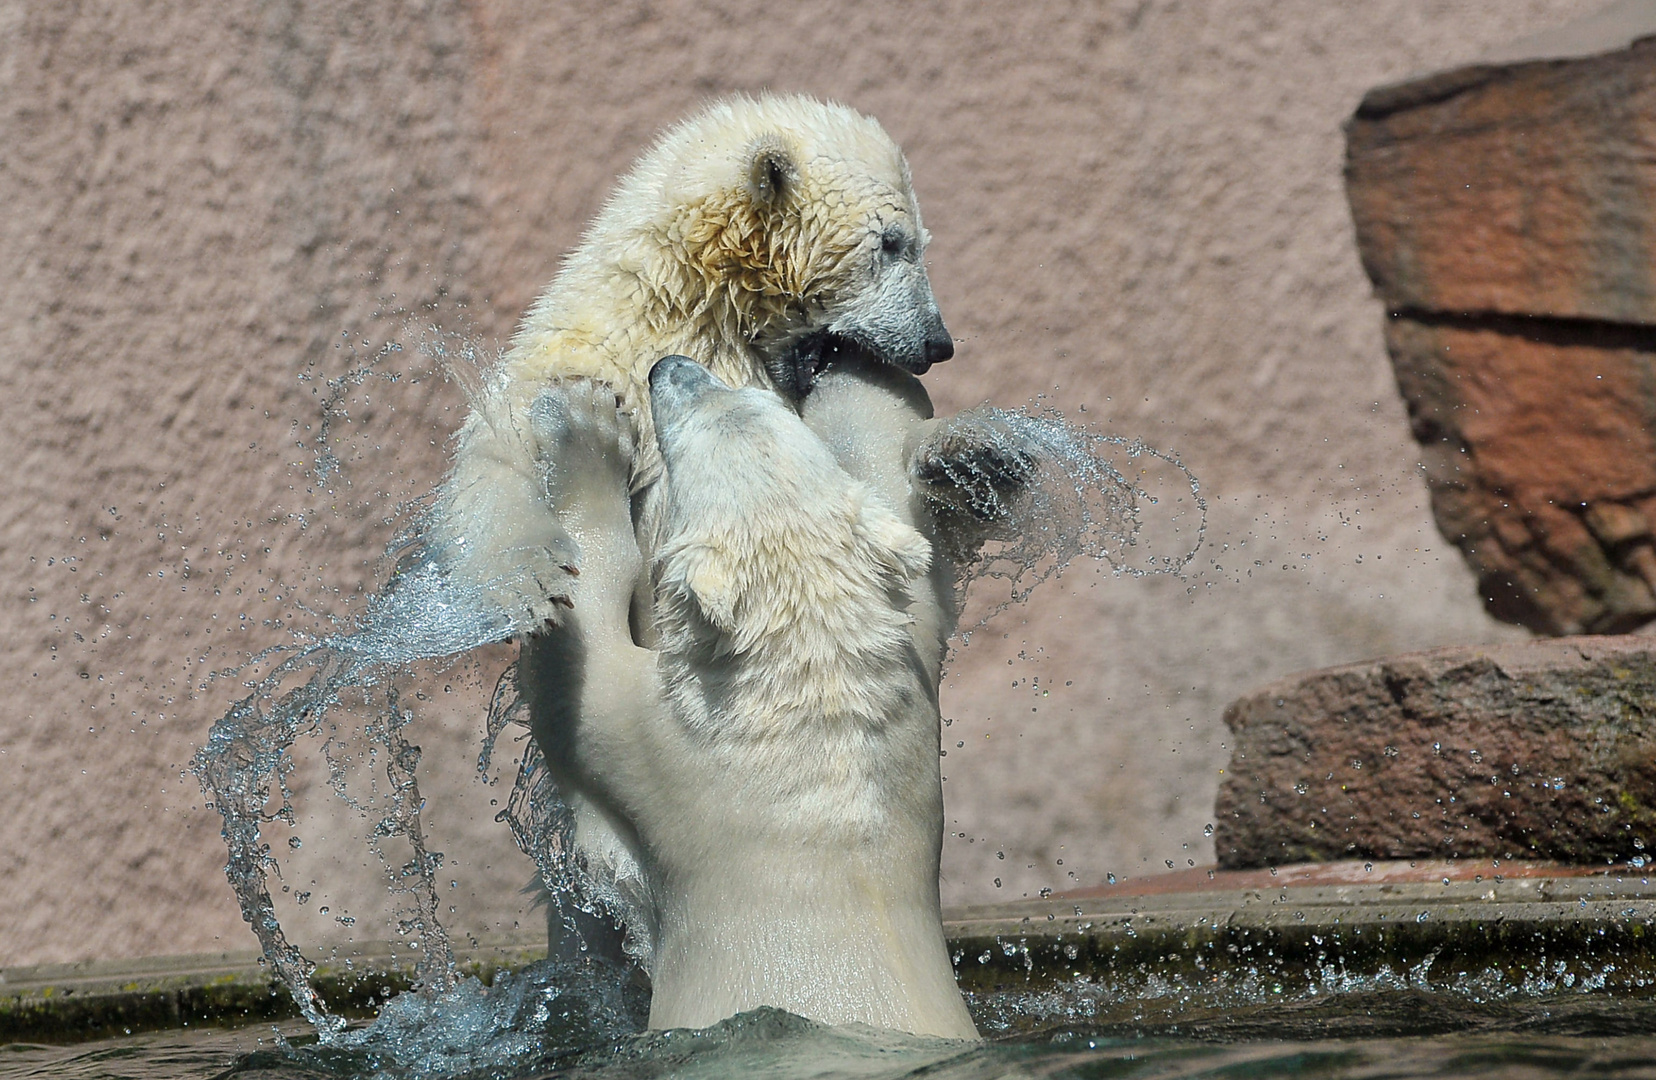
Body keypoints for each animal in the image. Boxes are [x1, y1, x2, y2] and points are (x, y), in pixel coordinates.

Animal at [437, 96, 960, 632]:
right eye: (891, 242)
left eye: (918, 242)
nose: (937, 343)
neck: (695, 304)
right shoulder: (599, 353)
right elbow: (501, 445)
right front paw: (527, 585)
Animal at [516, 361, 973, 1040]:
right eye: (756, 398)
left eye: (684, 439)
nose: (669, 368)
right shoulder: (908, 651)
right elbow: (893, 499)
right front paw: (856, 371)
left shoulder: (664, 743)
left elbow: (576, 663)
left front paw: (583, 423)